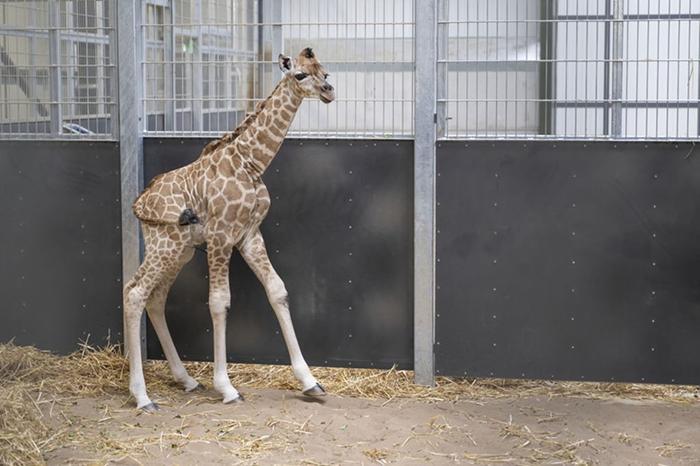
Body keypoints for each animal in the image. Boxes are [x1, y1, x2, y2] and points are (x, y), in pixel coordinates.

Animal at [124, 48, 334, 412]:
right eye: (300, 75)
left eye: (324, 70)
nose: (329, 91)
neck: (250, 162)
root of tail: (140, 202)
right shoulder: (221, 236)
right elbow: (219, 302)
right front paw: (226, 387)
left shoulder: (249, 235)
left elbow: (278, 290)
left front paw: (309, 381)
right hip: (165, 245)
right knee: (135, 292)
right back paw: (143, 396)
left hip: (179, 250)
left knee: (155, 298)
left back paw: (186, 379)